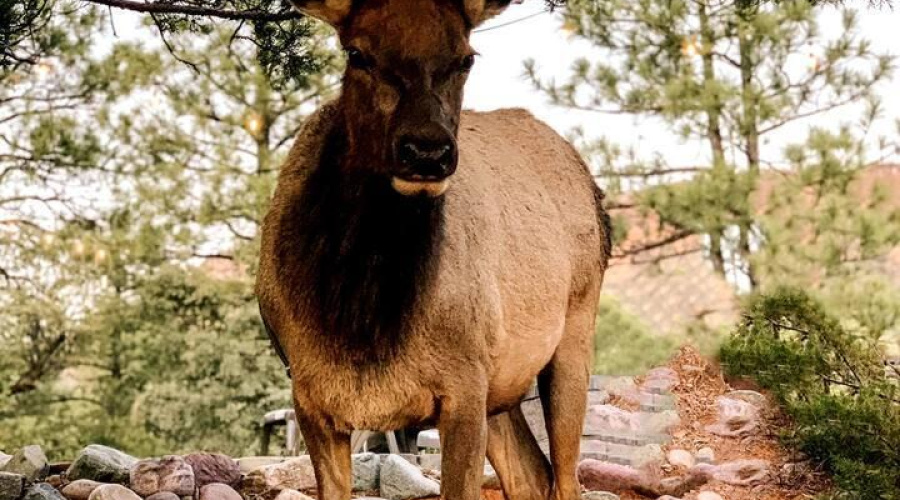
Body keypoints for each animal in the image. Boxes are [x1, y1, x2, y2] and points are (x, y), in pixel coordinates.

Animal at [255, 0, 611, 499]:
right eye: (357, 53)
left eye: (466, 58)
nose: (427, 152)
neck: (361, 326)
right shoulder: (308, 393)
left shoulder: (463, 385)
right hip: (501, 384)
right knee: (531, 473)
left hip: (573, 328)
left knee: (564, 476)